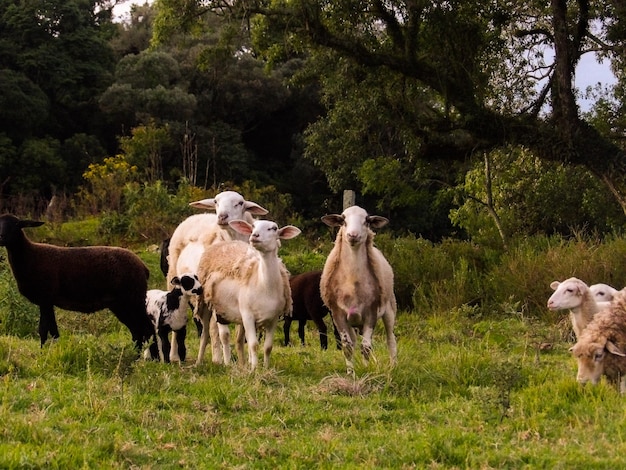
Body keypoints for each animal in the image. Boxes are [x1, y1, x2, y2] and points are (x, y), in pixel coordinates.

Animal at [0, 215, 154, 350]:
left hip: (132, 299)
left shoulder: (45, 298)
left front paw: (43, 353)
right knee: (137, 331)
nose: (1, 237)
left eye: (16, 224)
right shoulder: (48, 302)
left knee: (146, 328)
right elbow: (53, 330)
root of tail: (143, 267)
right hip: (120, 304)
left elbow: (43, 329)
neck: (30, 255)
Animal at [196, 218, 302, 370]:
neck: (263, 284)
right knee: (214, 334)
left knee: (238, 339)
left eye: (274, 228)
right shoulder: (248, 315)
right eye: (253, 226)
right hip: (209, 304)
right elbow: (254, 345)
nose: (254, 235)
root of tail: (223, 243)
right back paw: (213, 362)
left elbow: (268, 347)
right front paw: (255, 370)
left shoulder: (273, 318)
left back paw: (242, 364)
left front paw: (264, 368)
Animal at [320, 205, 398, 374]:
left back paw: (393, 366)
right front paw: (351, 373)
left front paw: (366, 370)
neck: (352, 281)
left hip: (390, 308)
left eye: (367, 221)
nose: (353, 235)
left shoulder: (371, 312)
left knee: (391, 339)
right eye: (343, 220)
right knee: (354, 341)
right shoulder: (338, 314)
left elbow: (366, 348)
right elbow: (347, 347)